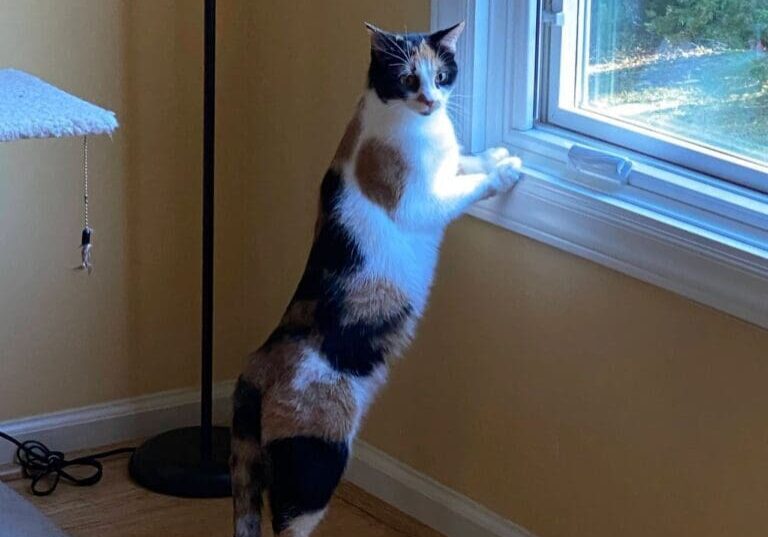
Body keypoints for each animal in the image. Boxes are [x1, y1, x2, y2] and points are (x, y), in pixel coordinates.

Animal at [231, 22, 520, 536]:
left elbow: (466, 161)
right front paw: (504, 171)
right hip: (314, 468)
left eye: (441, 75)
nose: (431, 100)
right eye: (407, 79)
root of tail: (257, 362)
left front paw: (495, 154)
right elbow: (467, 186)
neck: (420, 126)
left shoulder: (449, 160)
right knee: (288, 523)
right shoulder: (424, 202)